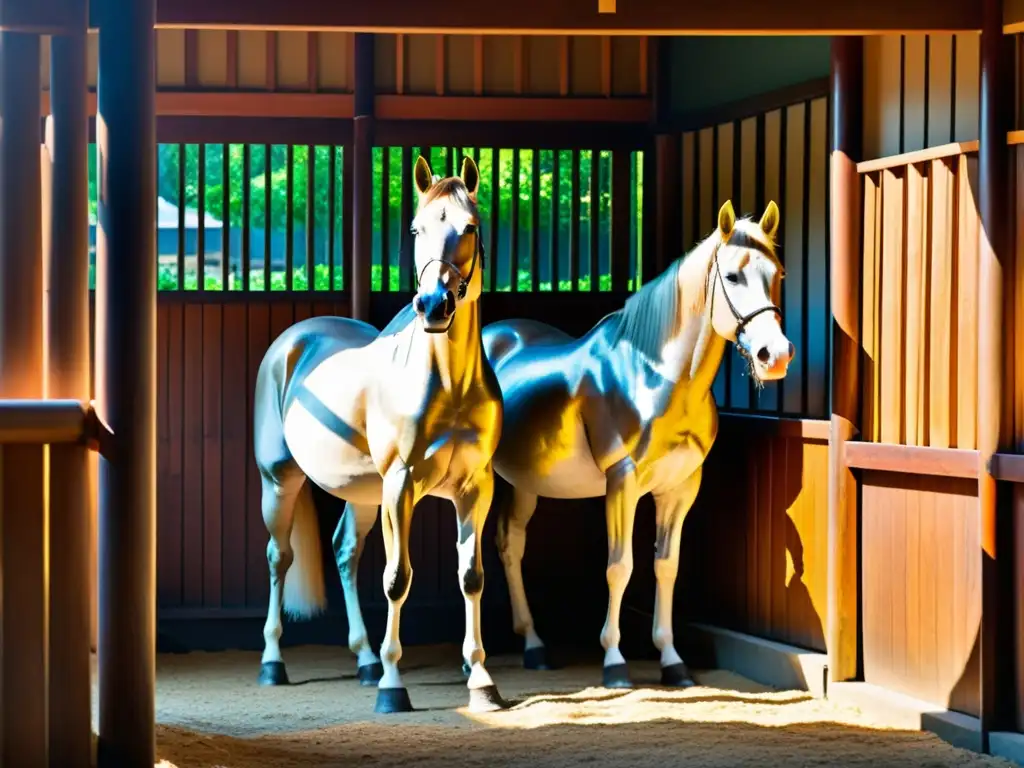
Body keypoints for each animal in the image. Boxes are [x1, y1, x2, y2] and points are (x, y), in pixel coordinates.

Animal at [252, 156, 507, 716]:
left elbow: (472, 577)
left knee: (345, 552)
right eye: (415, 229)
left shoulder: (475, 489)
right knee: (278, 558)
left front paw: (482, 682)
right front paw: (394, 687)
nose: (433, 306)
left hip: (363, 494)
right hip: (280, 481)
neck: (447, 383)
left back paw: (366, 660)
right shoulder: (401, 486)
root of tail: (290, 343)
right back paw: (274, 663)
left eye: (469, 227)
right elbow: (397, 578)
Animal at [479, 201, 790, 688]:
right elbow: (619, 566)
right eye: (733, 276)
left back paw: (534, 646)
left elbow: (666, 565)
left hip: (523, 483)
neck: (653, 373)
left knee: (511, 545)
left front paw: (673, 661)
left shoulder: (680, 488)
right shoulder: (621, 482)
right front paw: (614, 662)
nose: (774, 356)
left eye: (777, 273)